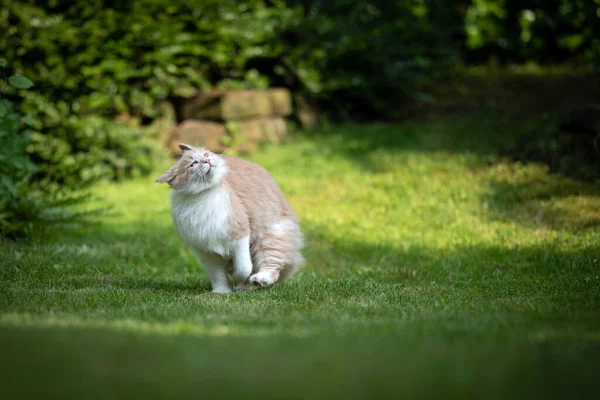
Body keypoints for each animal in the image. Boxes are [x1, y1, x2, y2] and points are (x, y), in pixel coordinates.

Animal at [156, 144, 302, 294]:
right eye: (193, 163)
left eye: (206, 155)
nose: (207, 161)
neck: (204, 195)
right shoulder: (206, 252)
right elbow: (217, 276)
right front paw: (222, 291)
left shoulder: (239, 235)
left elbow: (243, 268)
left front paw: (239, 280)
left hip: (270, 236)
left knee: (271, 265)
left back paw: (257, 280)